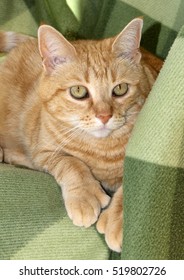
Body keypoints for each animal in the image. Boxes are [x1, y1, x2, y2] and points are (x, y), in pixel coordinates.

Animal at [0, 18, 162, 253]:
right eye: (78, 91)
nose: (104, 116)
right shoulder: (44, 152)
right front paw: (84, 195)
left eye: (120, 89)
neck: (102, 150)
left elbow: (132, 183)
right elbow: (71, 163)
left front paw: (118, 220)